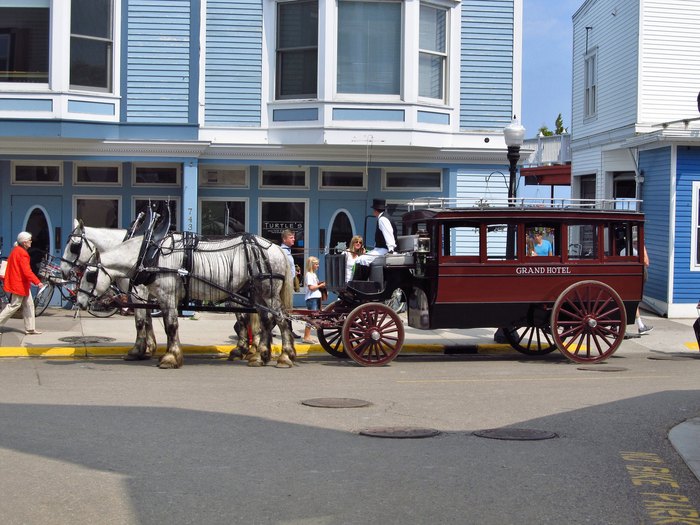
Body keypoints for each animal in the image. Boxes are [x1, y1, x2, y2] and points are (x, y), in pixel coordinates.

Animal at [76, 233, 296, 368]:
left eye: (90, 275)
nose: (78, 301)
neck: (150, 255)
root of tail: (277, 249)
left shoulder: (165, 295)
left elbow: (169, 326)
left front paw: (169, 357)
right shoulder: (157, 297)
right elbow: (154, 322)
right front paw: (152, 351)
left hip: (268, 292)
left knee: (281, 319)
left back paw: (285, 356)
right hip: (258, 293)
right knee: (267, 321)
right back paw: (261, 356)